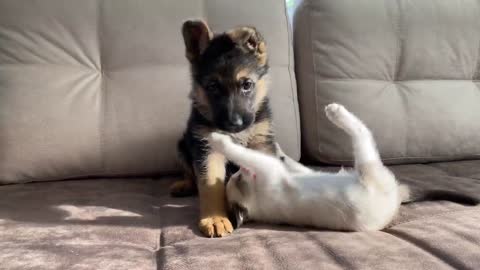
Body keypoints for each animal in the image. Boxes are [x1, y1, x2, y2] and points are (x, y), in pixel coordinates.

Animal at [172, 20, 278, 237]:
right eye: (212, 86)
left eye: (247, 85)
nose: (234, 124)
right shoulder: (207, 149)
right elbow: (210, 185)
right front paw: (215, 218)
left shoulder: (261, 142)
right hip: (181, 146)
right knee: (190, 173)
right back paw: (184, 184)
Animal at [208, 103, 406, 232]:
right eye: (238, 178)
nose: (240, 171)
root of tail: (395, 201)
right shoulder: (269, 168)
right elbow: (240, 152)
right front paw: (216, 139)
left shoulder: (280, 169)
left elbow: (287, 162)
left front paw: (277, 148)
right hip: (368, 165)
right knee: (362, 132)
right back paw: (335, 111)